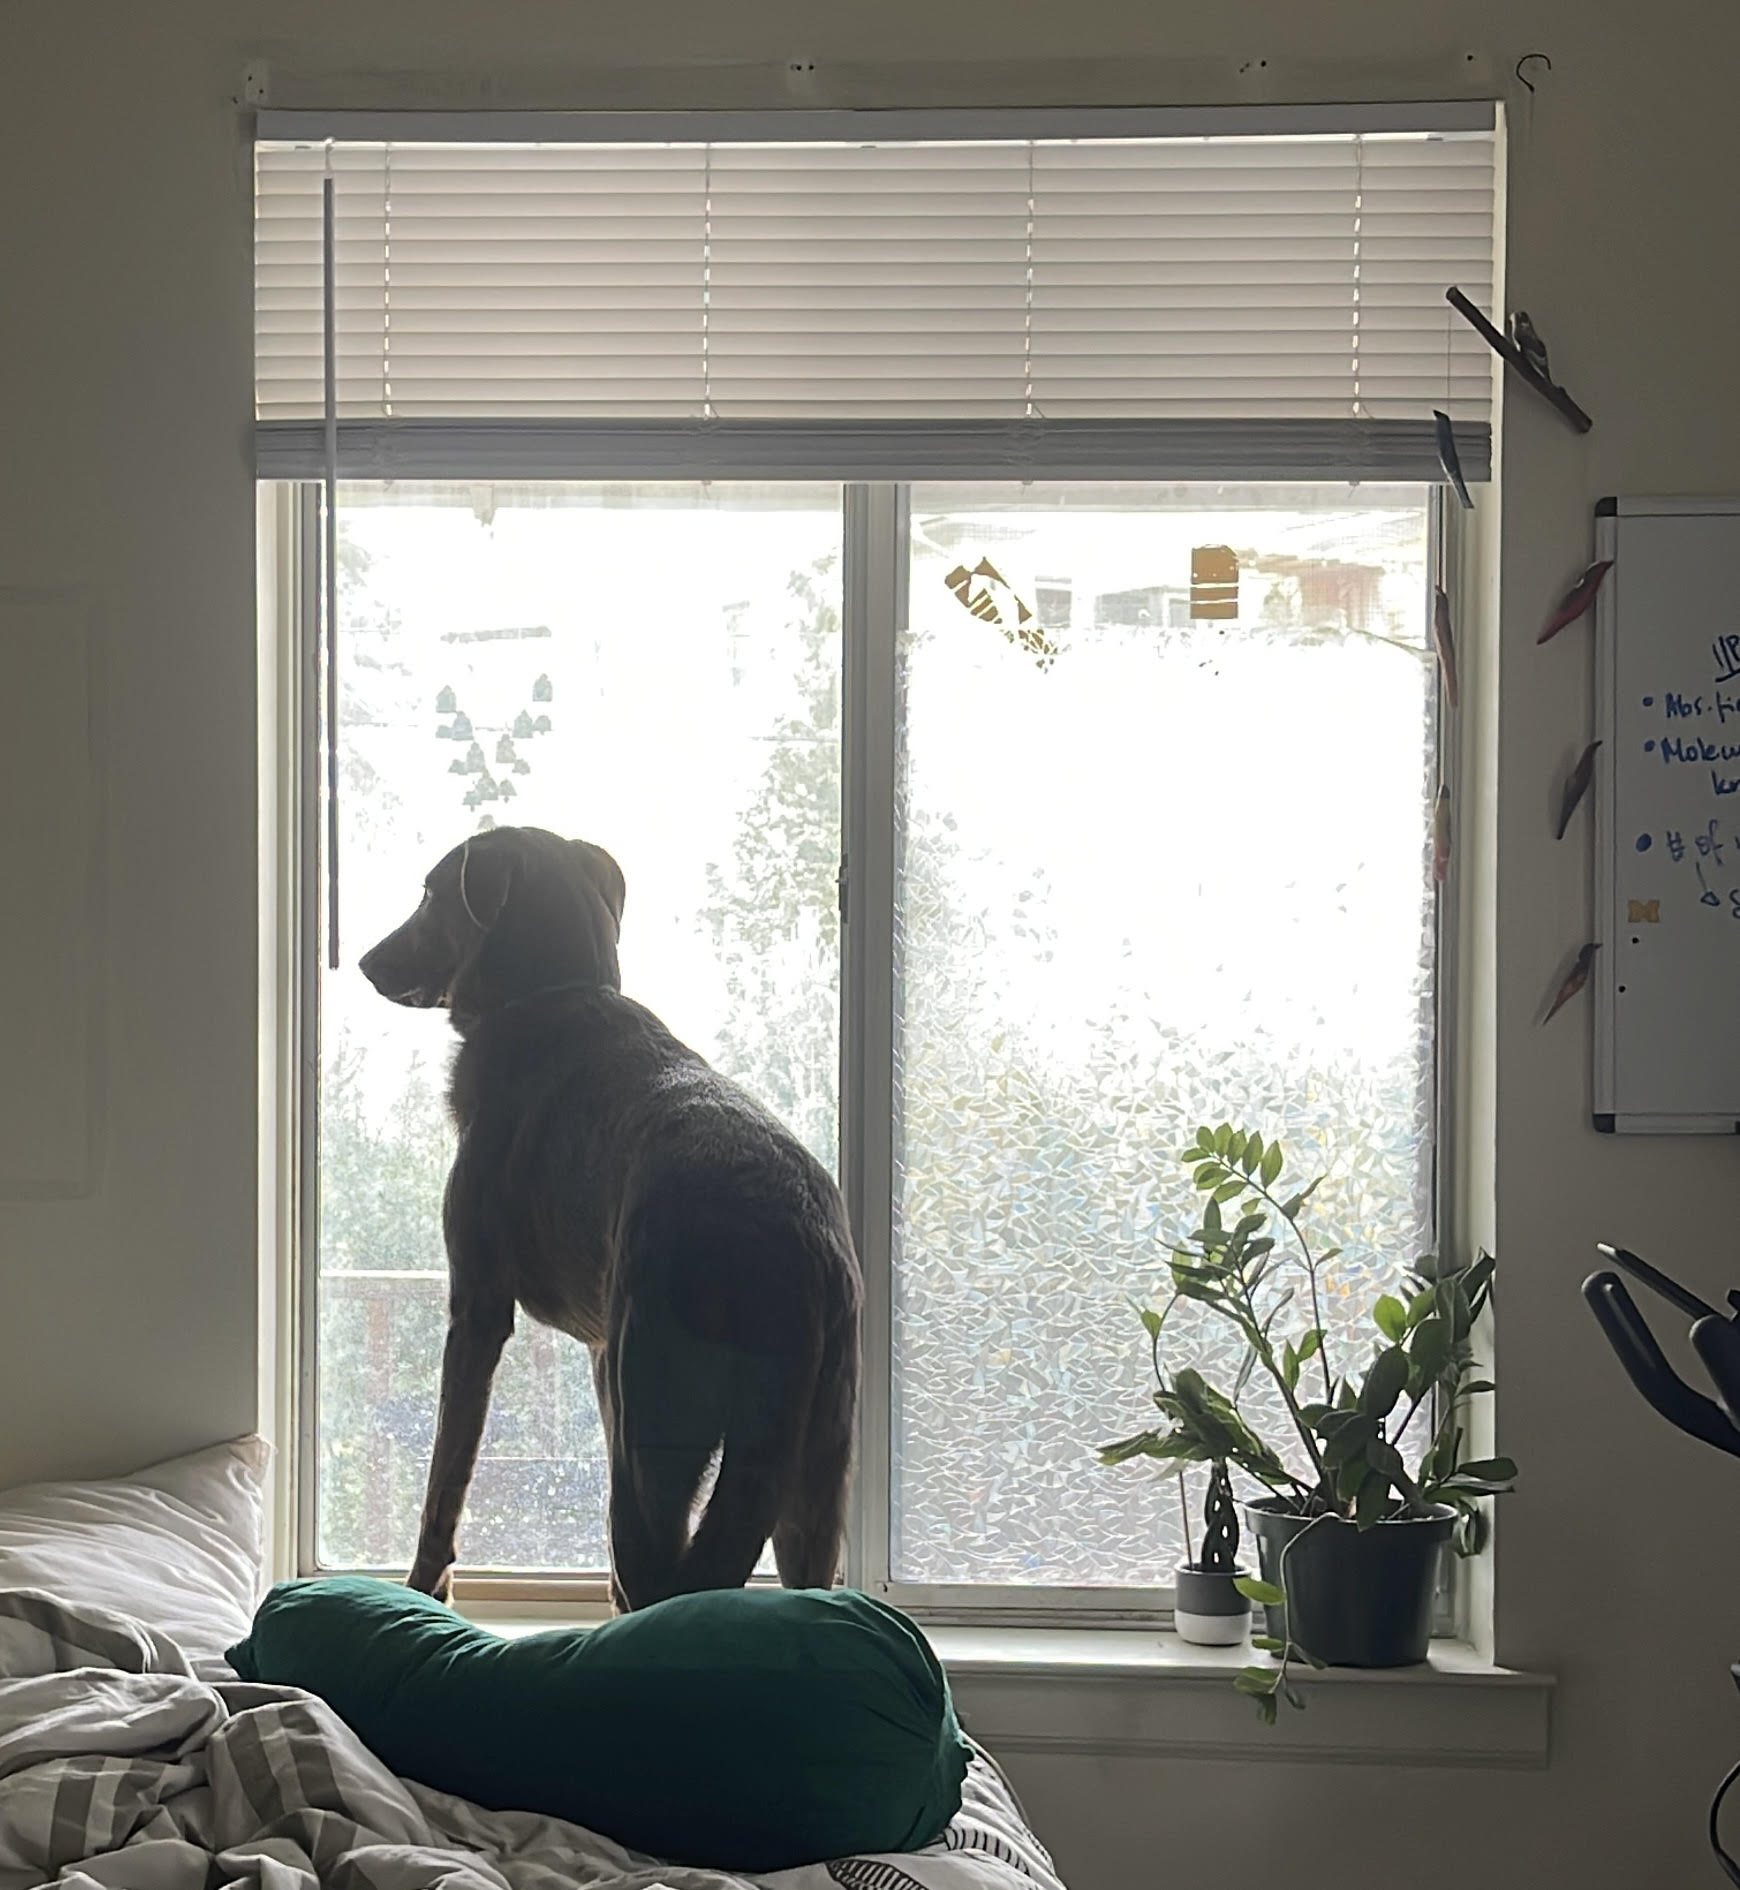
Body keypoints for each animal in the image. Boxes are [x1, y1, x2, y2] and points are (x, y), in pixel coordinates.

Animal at [358, 827, 861, 1610]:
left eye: (430, 895)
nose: (365, 962)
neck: (549, 994)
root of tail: (791, 1251)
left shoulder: (476, 1312)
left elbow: (445, 1485)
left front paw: (423, 1589)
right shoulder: (602, 1361)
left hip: (656, 1435)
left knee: (657, 1569)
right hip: (813, 1465)